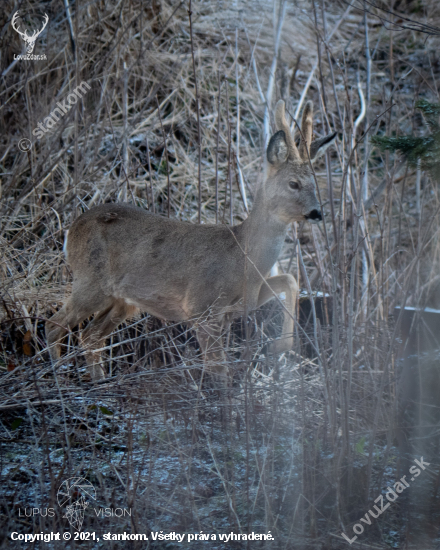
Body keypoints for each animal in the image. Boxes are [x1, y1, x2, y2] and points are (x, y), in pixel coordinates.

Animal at [46, 99, 336, 384]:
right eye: (293, 183)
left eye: (315, 183)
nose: (317, 212)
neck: (242, 258)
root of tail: (71, 231)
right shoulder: (201, 306)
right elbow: (218, 370)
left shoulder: (242, 303)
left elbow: (290, 279)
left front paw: (278, 346)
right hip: (90, 282)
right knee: (56, 325)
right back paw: (58, 380)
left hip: (122, 301)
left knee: (90, 335)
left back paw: (97, 381)